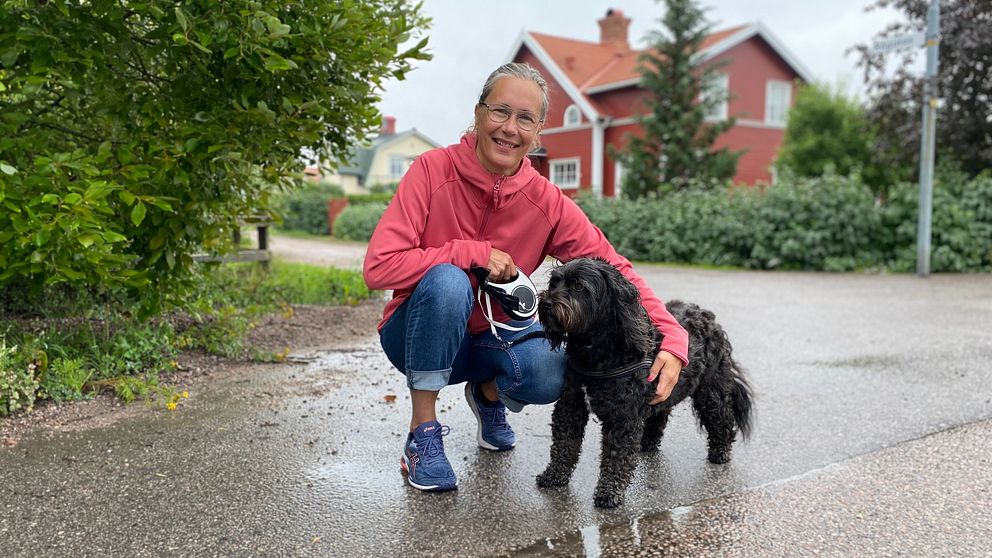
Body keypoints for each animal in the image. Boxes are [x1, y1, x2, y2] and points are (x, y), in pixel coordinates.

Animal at [536, 260, 752, 510]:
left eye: (579, 286)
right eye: (555, 282)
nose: (546, 303)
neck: (595, 353)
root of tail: (706, 315)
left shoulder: (623, 418)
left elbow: (616, 455)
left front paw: (609, 492)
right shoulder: (571, 405)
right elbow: (564, 443)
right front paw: (554, 475)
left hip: (711, 391)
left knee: (722, 418)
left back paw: (720, 452)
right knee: (660, 413)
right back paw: (647, 443)